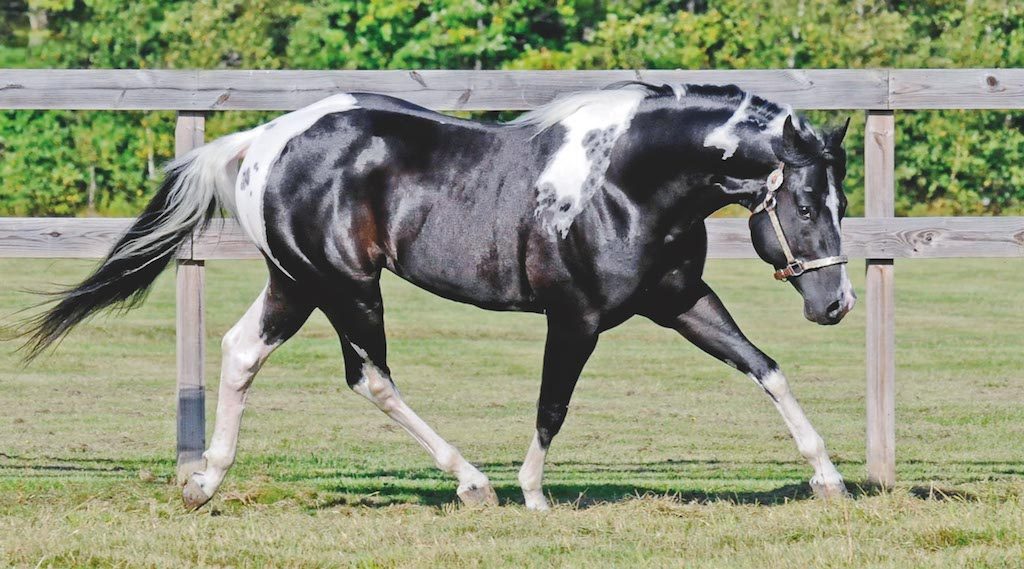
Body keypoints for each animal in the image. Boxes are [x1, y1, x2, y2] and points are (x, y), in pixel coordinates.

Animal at [22, 81, 856, 511]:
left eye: (841, 200)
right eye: (803, 204)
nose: (836, 305)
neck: (624, 179)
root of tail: (262, 140)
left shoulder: (682, 300)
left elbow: (767, 368)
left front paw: (830, 478)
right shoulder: (575, 318)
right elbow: (552, 404)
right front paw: (533, 494)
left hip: (296, 282)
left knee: (241, 353)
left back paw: (205, 483)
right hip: (346, 287)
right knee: (372, 378)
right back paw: (473, 482)